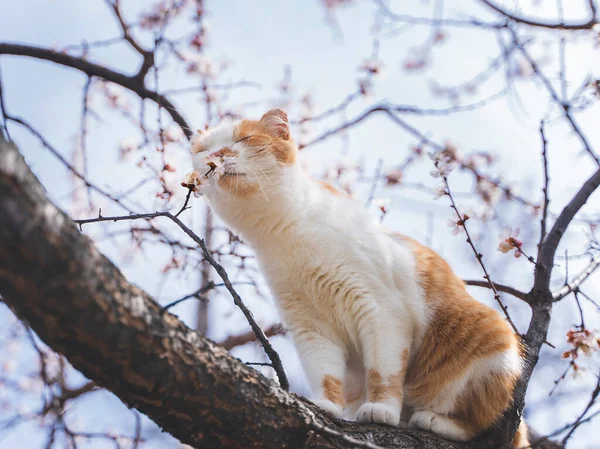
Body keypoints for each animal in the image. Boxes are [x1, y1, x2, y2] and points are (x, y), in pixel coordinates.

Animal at [190, 107, 528, 444]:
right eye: (204, 150)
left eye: (244, 139)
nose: (217, 154)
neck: (285, 231)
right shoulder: (309, 326)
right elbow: (325, 372)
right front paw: (325, 405)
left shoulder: (382, 311)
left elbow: (383, 371)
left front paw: (381, 409)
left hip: (491, 338)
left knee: (480, 425)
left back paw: (431, 419)